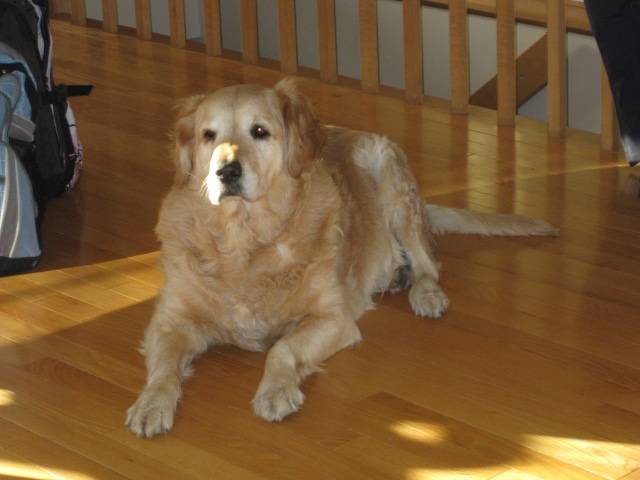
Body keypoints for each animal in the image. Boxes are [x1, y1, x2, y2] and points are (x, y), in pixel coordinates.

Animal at [126, 79, 557, 437]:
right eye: (208, 135)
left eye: (260, 131)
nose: (226, 172)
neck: (246, 240)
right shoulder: (169, 321)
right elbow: (163, 367)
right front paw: (150, 404)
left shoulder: (333, 319)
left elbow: (282, 348)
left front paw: (275, 391)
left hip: (392, 181)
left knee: (429, 262)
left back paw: (424, 292)